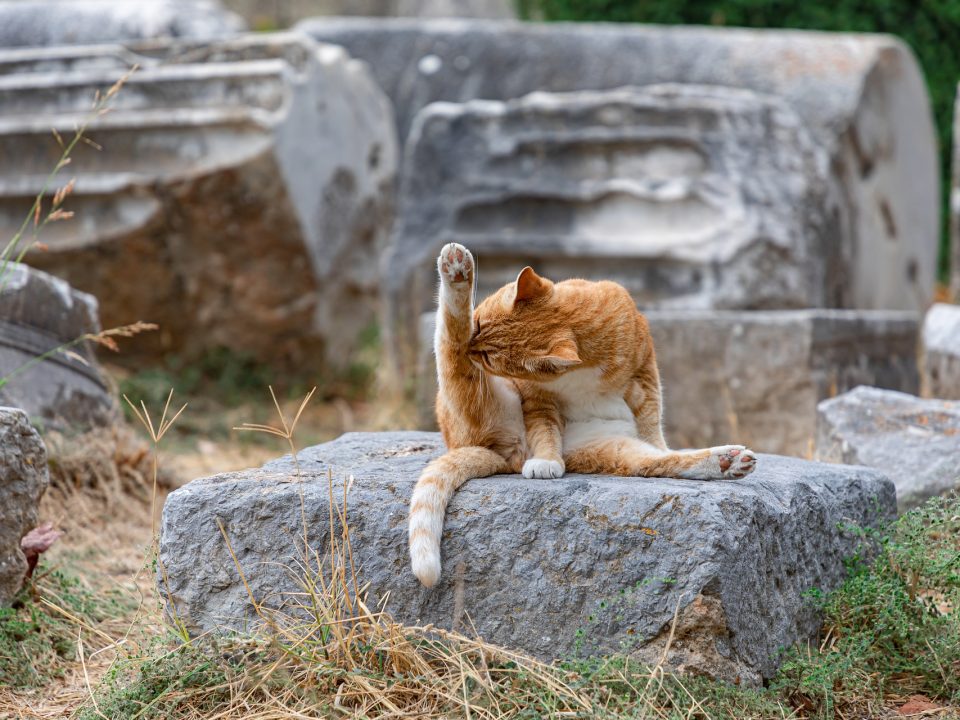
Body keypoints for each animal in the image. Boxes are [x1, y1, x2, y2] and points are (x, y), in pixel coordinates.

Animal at [406, 242, 756, 584]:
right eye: (477, 325)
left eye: (490, 358)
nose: (472, 347)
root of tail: (504, 456)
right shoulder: (537, 397)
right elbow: (545, 430)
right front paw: (546, 461)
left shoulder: (645, 373)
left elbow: (651, 419)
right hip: (477, 397)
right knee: (450, 344)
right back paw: (457, 272)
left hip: (611, 448)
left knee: (660, 461)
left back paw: (727, 462)